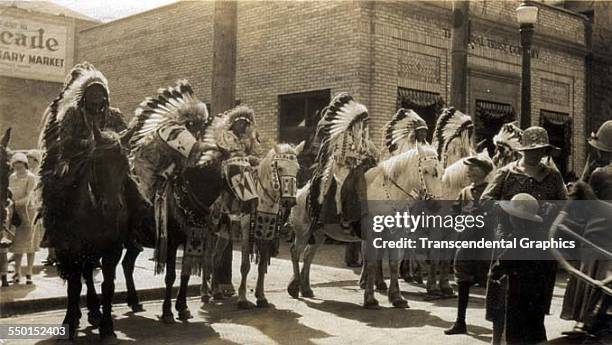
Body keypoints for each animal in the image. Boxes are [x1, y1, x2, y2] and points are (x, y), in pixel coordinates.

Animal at [203, 144, 298, 308]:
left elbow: (261, 266)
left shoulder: (266, 232)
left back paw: (216, 291)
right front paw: (242, 299)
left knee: (215, 258)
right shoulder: (247, 230)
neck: (263, 197)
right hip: (209, 228)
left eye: (297, 169)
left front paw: (261, 297)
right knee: (205, 258)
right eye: (279, 168)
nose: (290, 202)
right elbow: (245, 266)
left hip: (224, 231)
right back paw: (204, 293)